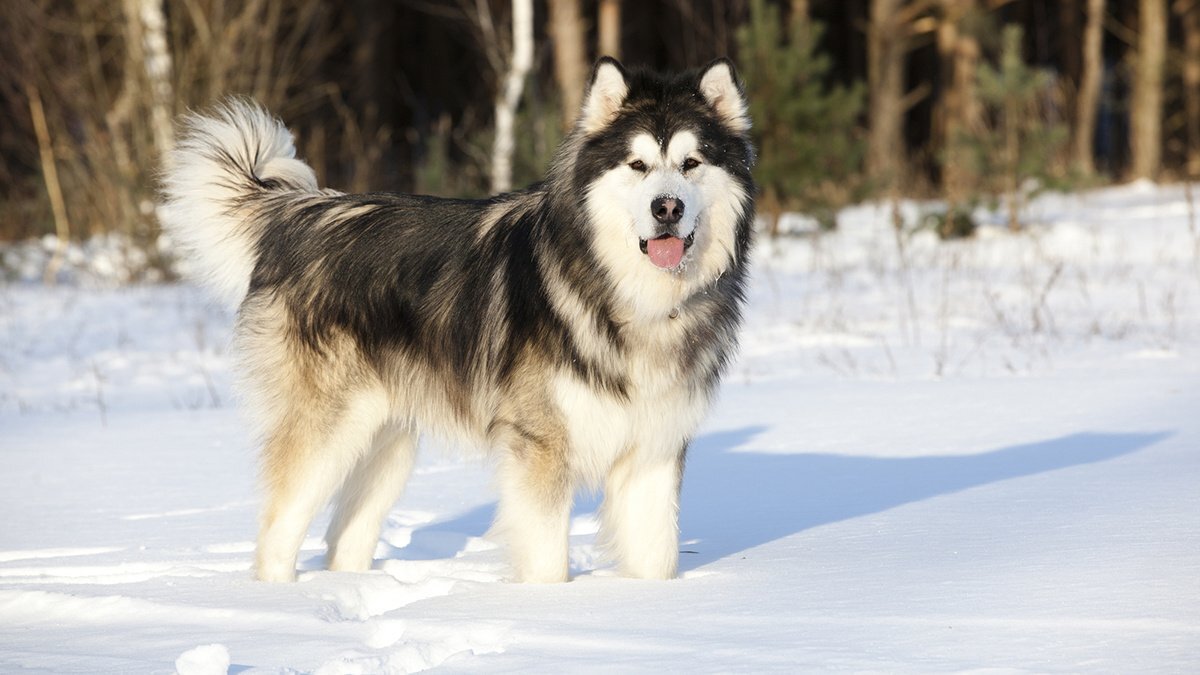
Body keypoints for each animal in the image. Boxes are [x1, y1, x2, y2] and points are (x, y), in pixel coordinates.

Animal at [159, 59, 753, 583]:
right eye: (637, 166)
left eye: (692, 164)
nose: (667, 208)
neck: (630, 296)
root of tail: (301, 214)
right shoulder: (540, 448)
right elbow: (547, 562)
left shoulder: (654, 452)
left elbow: (657, 559)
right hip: (327, 433)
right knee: (278, 532)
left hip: (388, 443)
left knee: (344, 539)